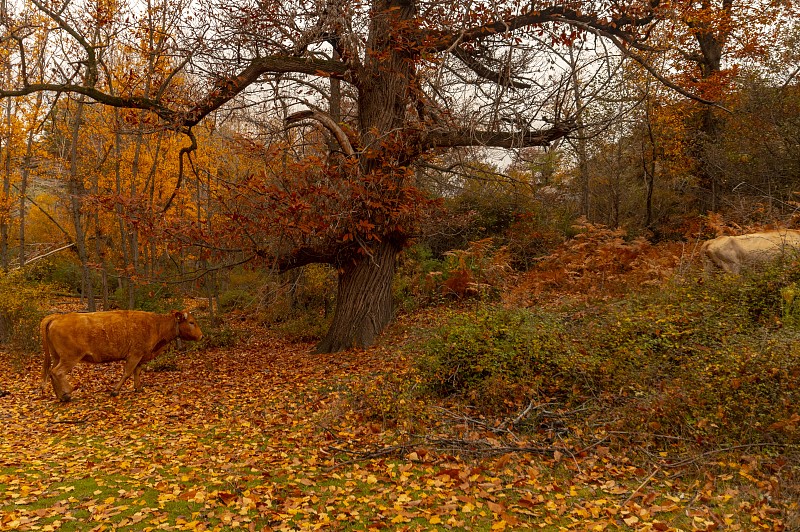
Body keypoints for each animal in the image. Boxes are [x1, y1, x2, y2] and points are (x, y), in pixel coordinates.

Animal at [40, 310, 203, 402]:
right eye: (191, 322)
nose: (201, 336)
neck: (155, 325)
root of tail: (57, 317)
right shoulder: (134, 354)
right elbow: (127, 372)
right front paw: (115, 391)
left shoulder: (141, 356)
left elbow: (137, 372)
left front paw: (138, 387)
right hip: (69, 358)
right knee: (57, 372)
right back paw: (68, 393)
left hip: (57, 357)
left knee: (52, 372)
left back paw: (60, 396)